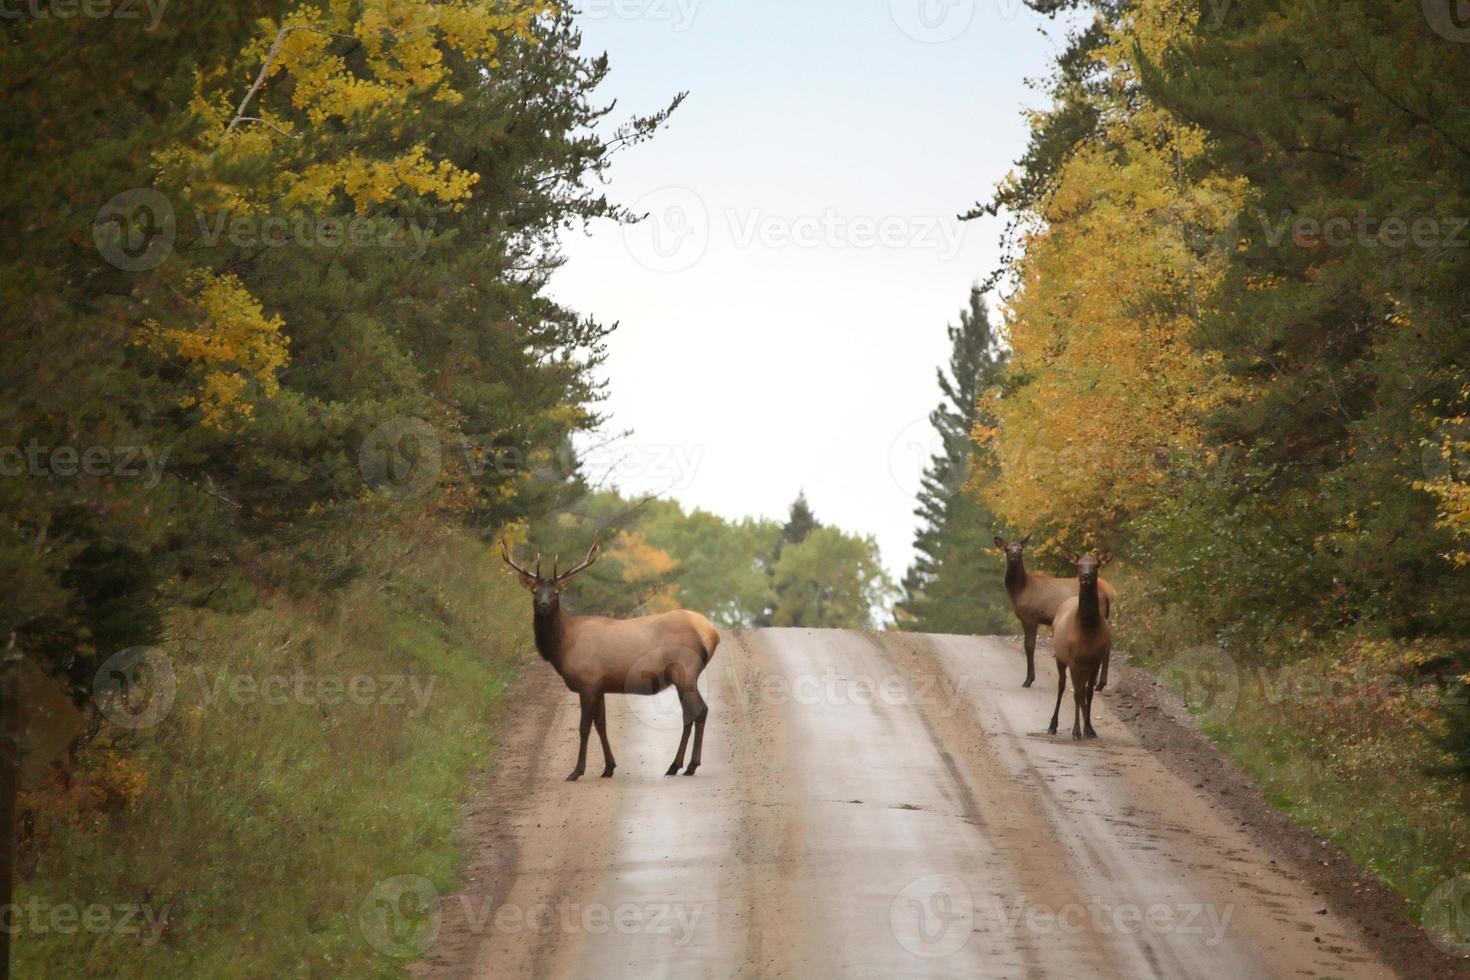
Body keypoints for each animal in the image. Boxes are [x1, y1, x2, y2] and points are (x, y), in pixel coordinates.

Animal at [496, 537, 720, 781]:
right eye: (534, 591)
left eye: (556, 592)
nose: (544, 605)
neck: (563, 646)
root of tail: (711, 633)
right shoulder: (600, 685)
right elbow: (601, 725)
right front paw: (609, 768)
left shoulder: (587, 682)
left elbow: (584, 727)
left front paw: (576, 771)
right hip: (683, 676)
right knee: (691, 713)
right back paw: (677, 765)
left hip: (685, 671)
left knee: (699, 710)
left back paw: (688, 766)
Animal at [993, 537, 1117, 690]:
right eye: (1007, 549)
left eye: (1020, 549)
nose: (1014, 556)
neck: (1019, 591)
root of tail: (1107, 595)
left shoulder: (1031, 617)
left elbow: (1029, 646)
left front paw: (1028, 680)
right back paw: (1096, 682)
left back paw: (1100, 683)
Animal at [1046, 555, 1111, 740]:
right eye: (1079, 565)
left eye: (1096, 565)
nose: (1086, 576)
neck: (1087, 631)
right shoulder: (1074, 662)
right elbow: (1075, 694)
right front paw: (1076, 731)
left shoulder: (1094, 663)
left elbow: (1088, 693)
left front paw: (1088, 729)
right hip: (1061, 659)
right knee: (1062, 685)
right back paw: (1052, 725)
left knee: (1082, 691)